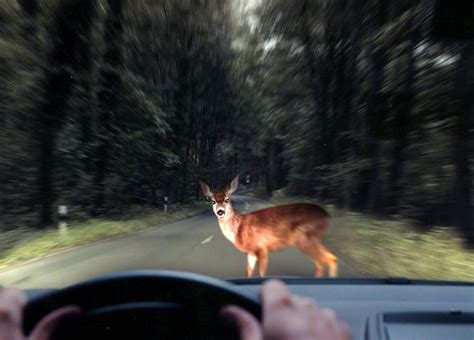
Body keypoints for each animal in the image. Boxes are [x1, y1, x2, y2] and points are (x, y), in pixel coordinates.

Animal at [199, 177, 336, 278]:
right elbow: (248, 272)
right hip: (314, 238)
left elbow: (261, 273)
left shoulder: (262, 247)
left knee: (321, 262)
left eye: (227, 200)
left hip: (304, 237)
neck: (239, 229)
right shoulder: (251, 252)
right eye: (213, 201)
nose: (220, 211)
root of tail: (327, 215)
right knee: (331, 258)